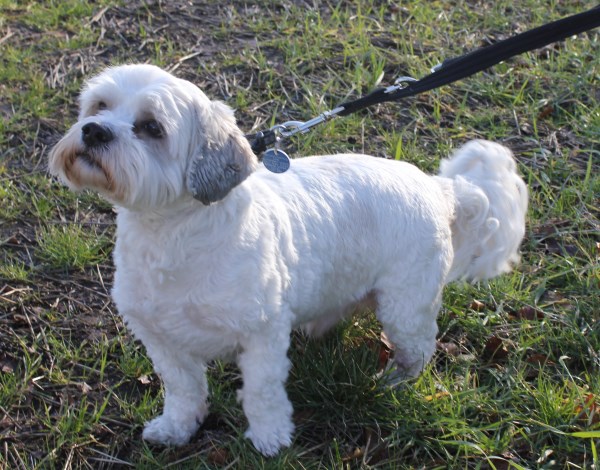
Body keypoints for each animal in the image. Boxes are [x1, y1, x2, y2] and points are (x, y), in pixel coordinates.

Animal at [49, 63, 528, 456]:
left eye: (151, 127)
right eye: (99, 106)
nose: (93, 131)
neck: (175, 236)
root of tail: (439, 189)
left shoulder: (260, 333)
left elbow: (262, 393)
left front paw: (270, 438)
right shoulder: (161, 337)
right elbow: (183, 390)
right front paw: (176, 428)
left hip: (405, 306)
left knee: (419, 350)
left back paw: (392, 381)